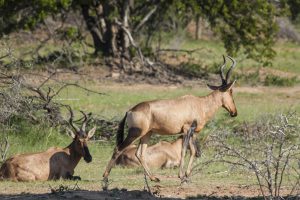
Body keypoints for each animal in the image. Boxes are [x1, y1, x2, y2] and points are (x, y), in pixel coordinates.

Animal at [102, 55, 238, 182]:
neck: (200, 103)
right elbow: (184, 151)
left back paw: (154, 178)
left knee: (139, 153)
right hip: (135, 133)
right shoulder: (187, 129)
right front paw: (181, 176)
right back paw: (105, 177)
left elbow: (194, 151)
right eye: (231, 91)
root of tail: (130, 111)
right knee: (118, 148)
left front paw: (187, 174)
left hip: (147, 134)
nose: (234, 112)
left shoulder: (192, 132)